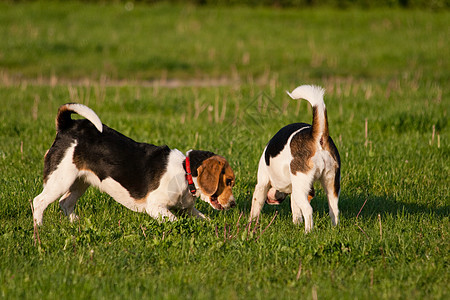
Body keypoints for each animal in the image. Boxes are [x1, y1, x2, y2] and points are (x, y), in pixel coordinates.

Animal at [31, 103, 236, 225]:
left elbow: (204, 218)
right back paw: (40, 229)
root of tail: (67, 126)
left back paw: (76, 223)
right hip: (60, 179)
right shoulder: (155, 206)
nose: (233, 204)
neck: (185, 174)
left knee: (65, 203)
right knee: (38, 202)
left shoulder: (188, 209)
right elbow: (175, 220)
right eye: (228, 181)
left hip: (81, 181)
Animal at [250, 84, 342, 232]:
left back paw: (308, 232)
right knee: (334, 210)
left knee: (308, 210)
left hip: (301, 186)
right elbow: (296, 211)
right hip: (331, 184)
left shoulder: (262, 183)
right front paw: (296, 224)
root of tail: (317, 137)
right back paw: (334, 229)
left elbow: (255, 207)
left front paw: (250, 224)